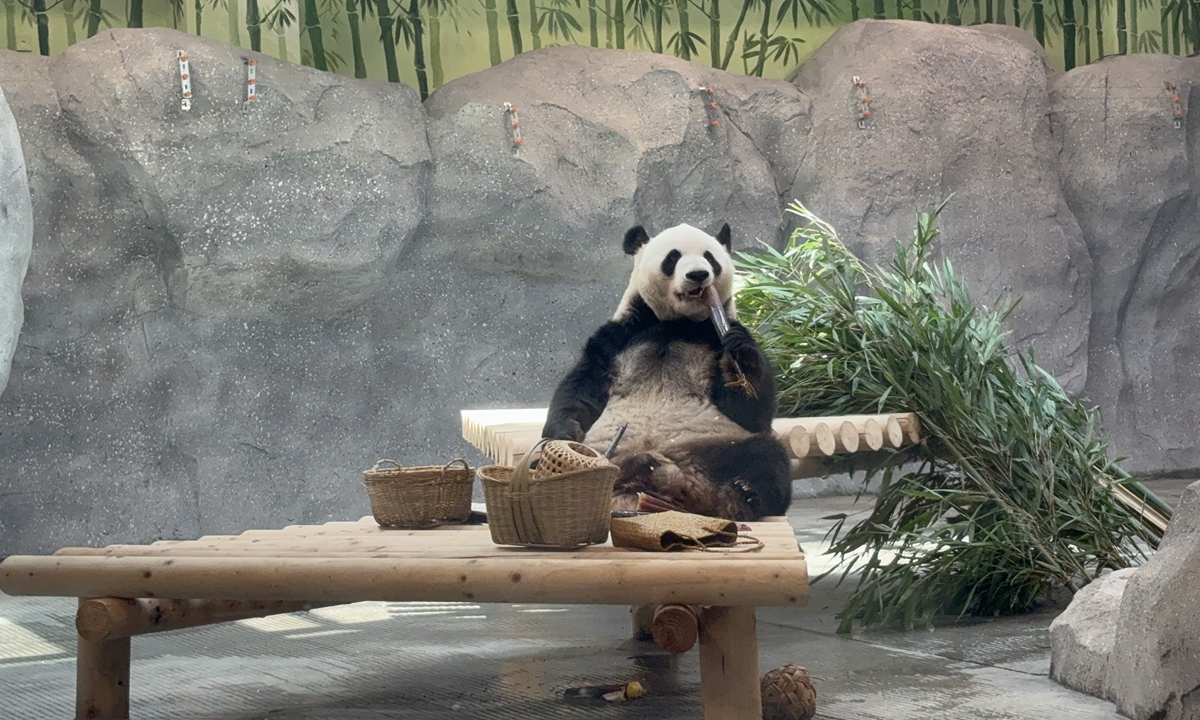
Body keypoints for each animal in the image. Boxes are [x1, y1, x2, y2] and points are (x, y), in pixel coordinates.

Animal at [540, 221, 792, 521]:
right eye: (673, 257)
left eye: (710, 258)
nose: (698, 274)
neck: (678, 323)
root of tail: (685, 487)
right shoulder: (619, 338)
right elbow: (581, 387)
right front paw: (567, 432)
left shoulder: (714, 339)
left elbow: (753, 412)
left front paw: (740, 354)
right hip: (606, 452)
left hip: (717, 445)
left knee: (767, 454)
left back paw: (743, 494)